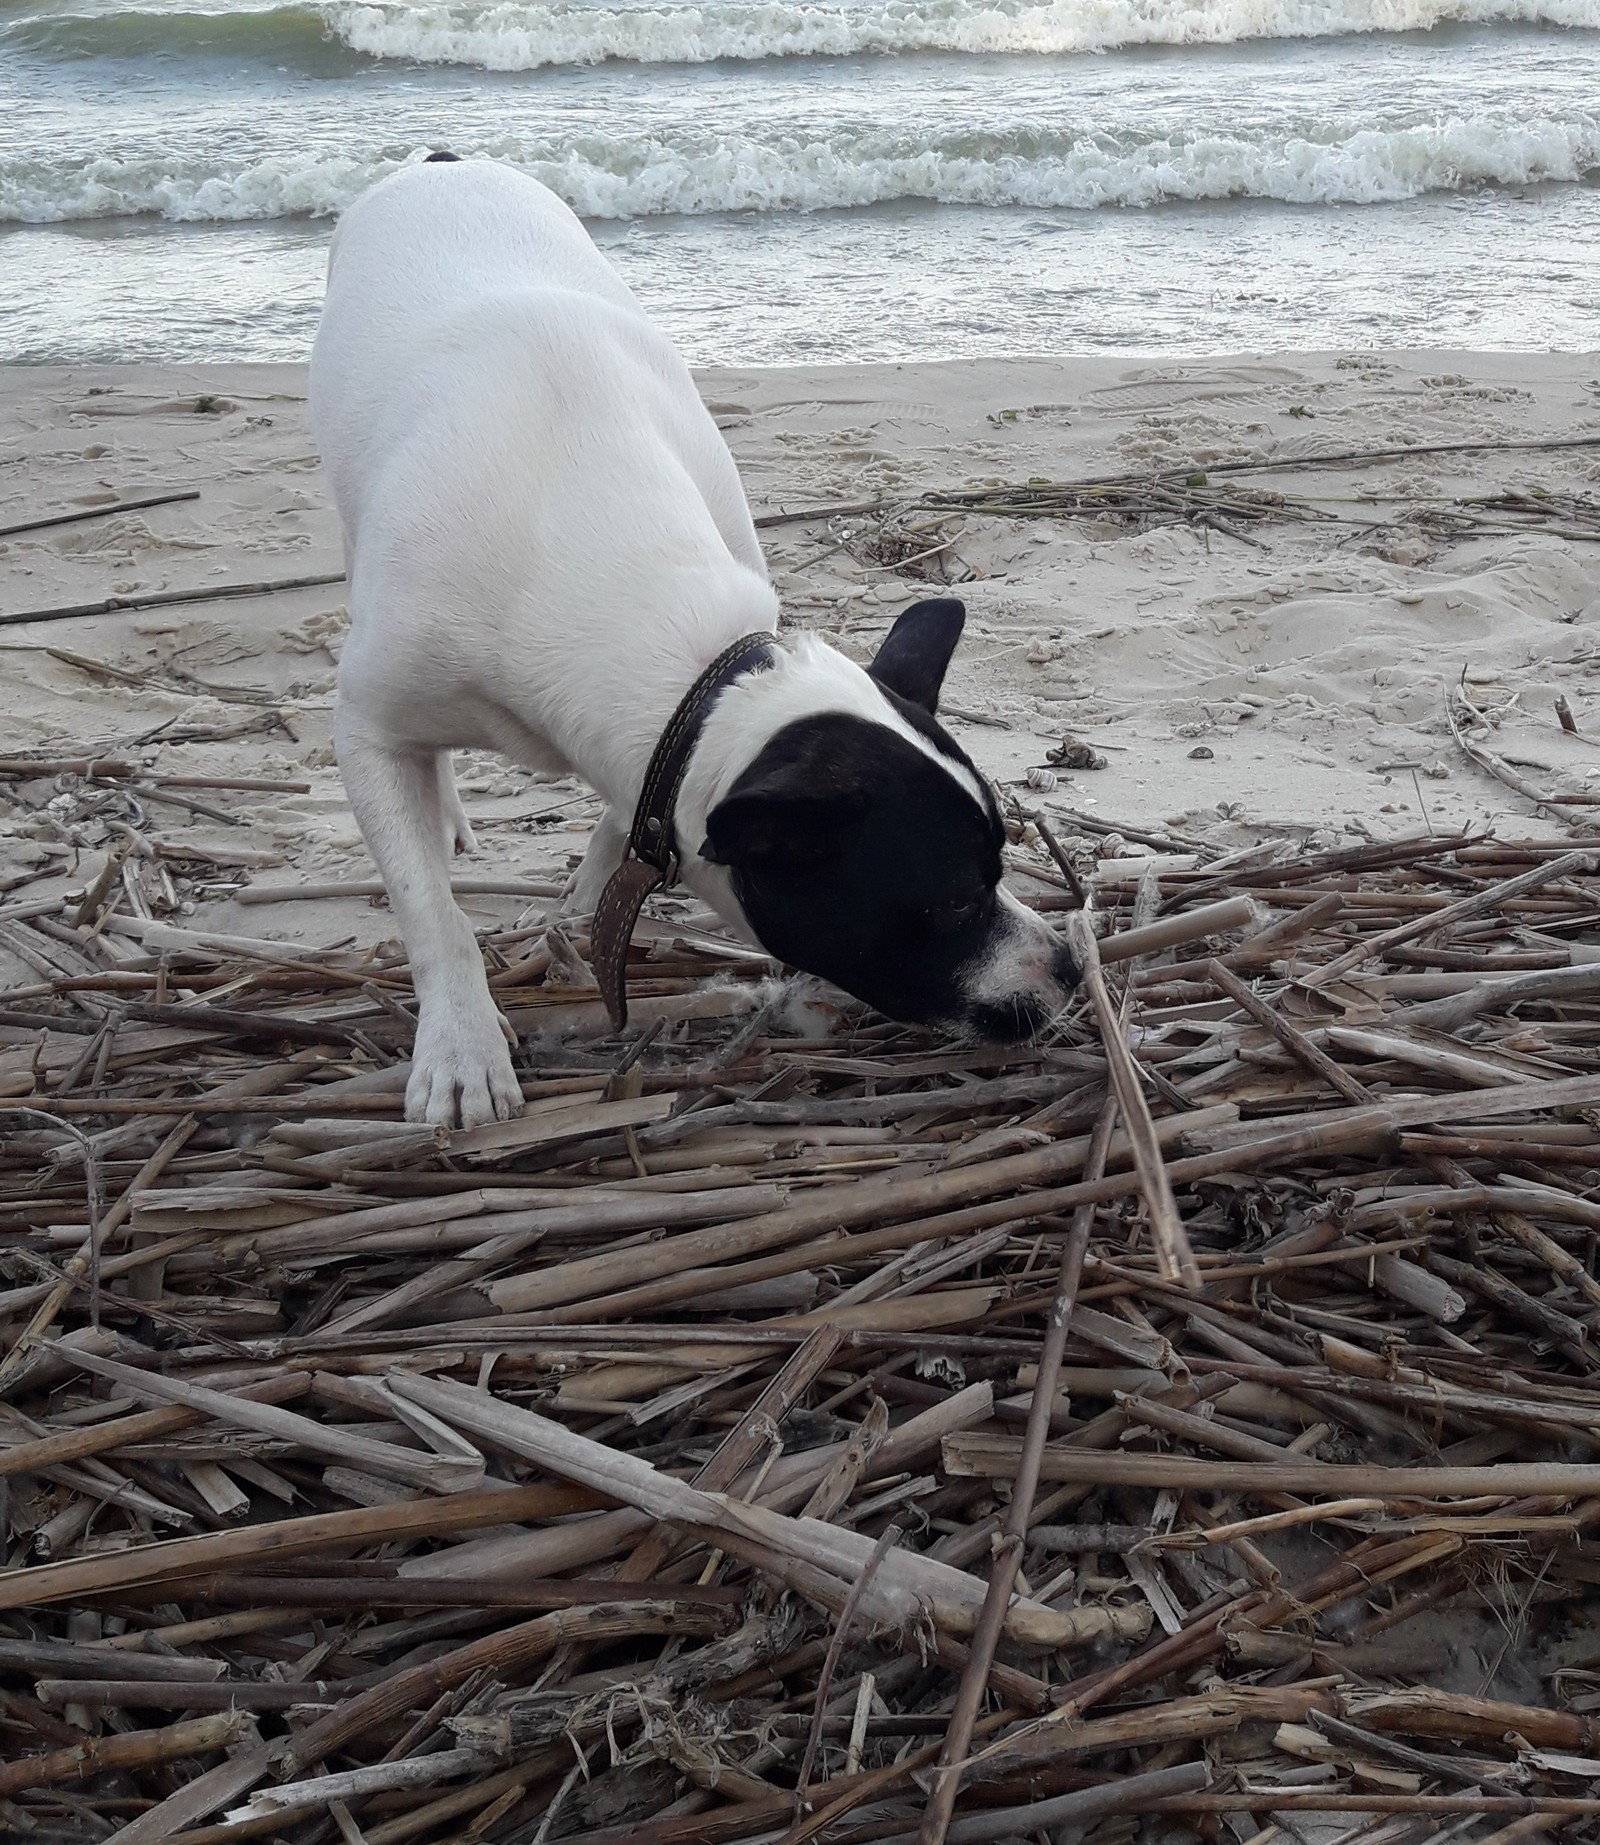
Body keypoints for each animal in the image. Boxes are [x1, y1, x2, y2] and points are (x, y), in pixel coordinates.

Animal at [311, 158, 1077, 1129]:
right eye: (955, 900)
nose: (1069, 965)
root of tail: (440, 163)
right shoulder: (367, 729)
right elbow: (430, 913)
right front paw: (460, 1046)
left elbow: (619, 822)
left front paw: (588, 897)